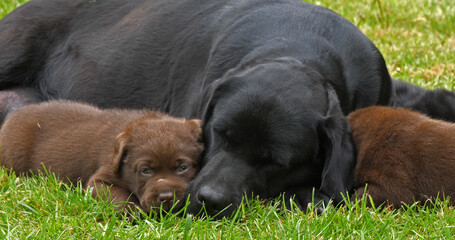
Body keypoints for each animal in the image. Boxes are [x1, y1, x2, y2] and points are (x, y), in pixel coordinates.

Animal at [0, 100, 203, 215]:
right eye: (145, 171)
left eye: (183, 168)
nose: (166, 197)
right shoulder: (98, 181)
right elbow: (122, 198)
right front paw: (137, 214)